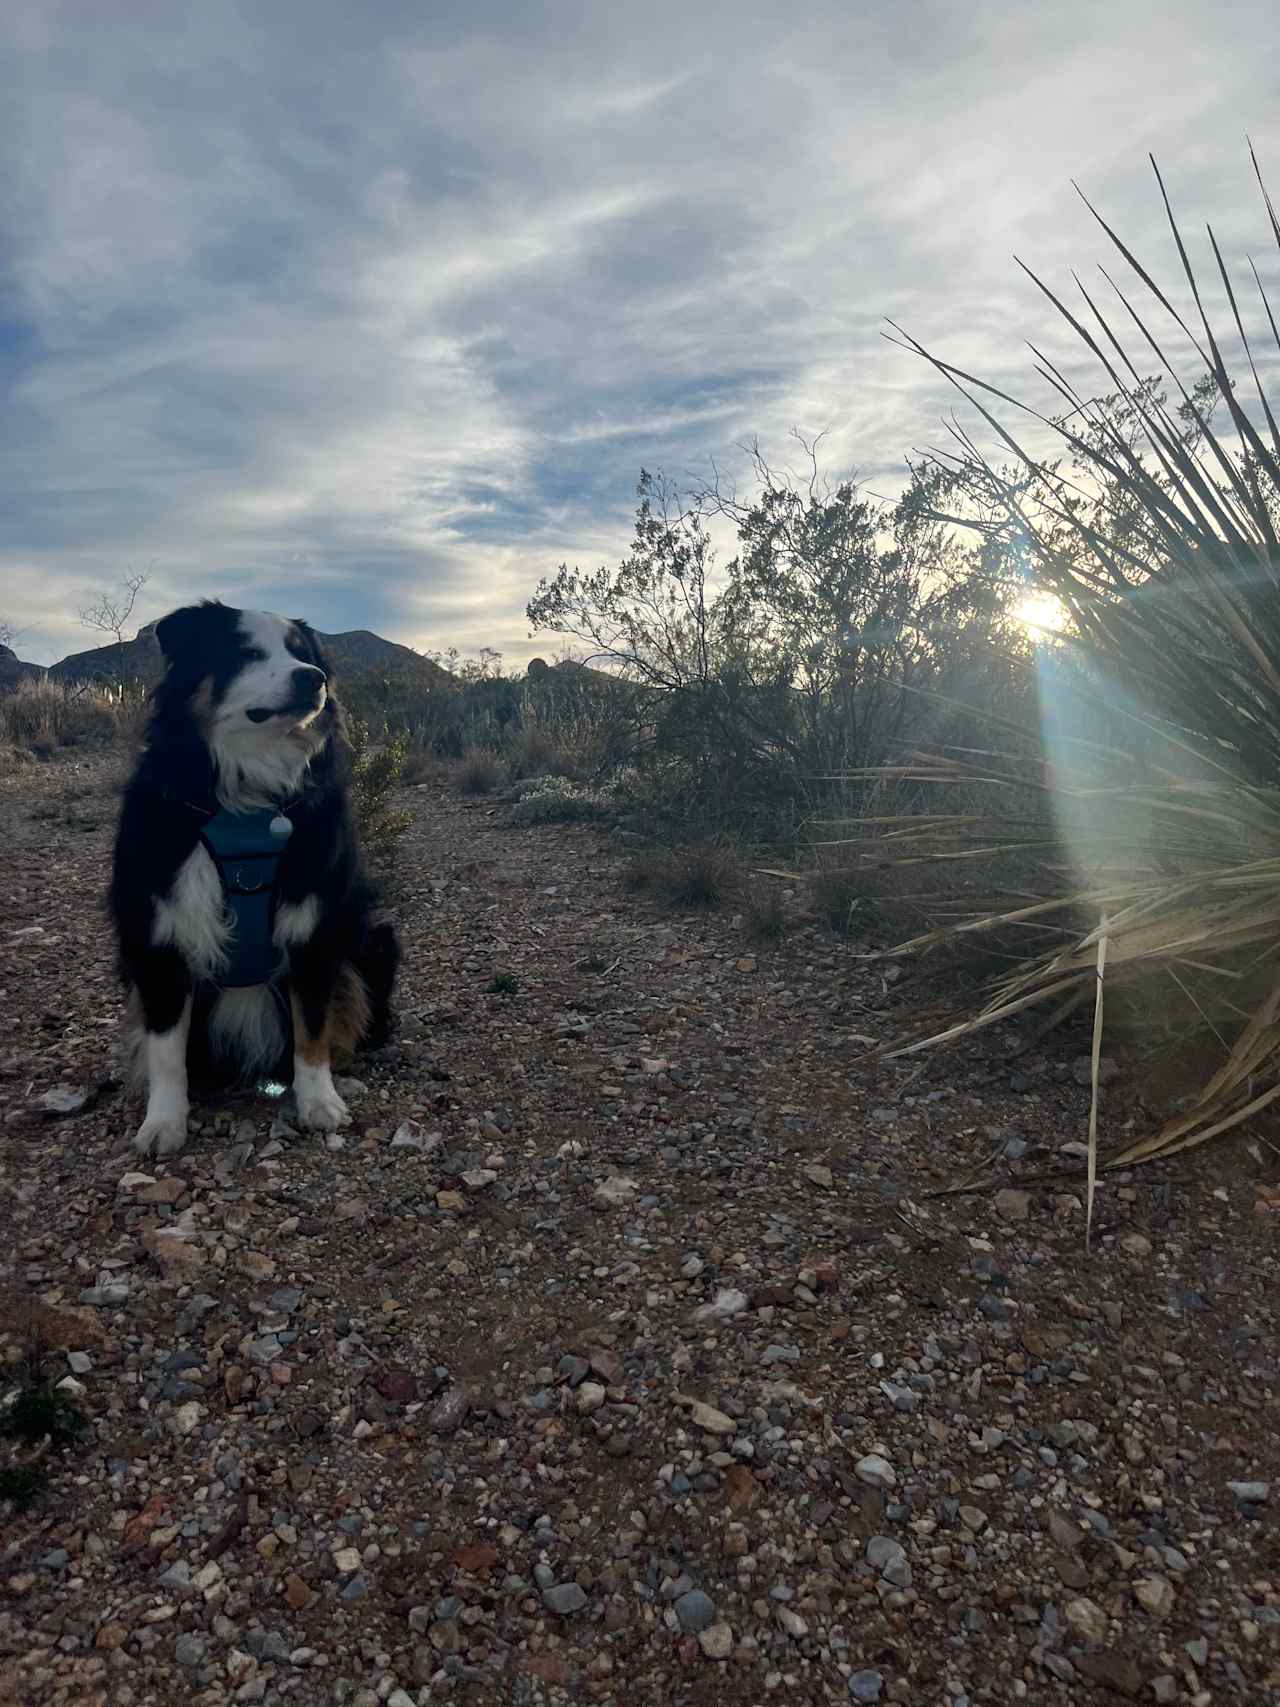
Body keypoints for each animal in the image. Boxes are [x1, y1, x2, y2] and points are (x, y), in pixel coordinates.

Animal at [110, 604, 401, 1160]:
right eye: (245, 652)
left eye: (303, 655)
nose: (313, 679)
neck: (247, 802)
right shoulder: (159, 935)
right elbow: (165, 1046)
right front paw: (164, 1122)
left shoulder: (314, 930)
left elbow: (313, 1027)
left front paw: (319, 1103)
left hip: (376, 940)